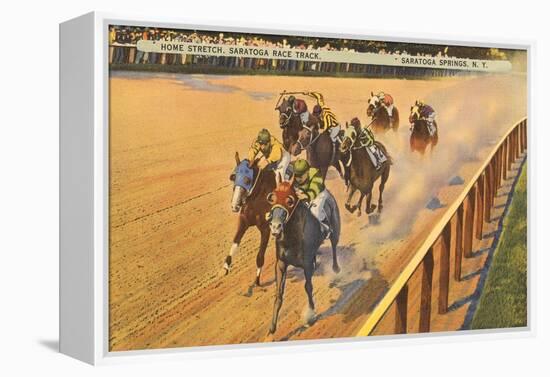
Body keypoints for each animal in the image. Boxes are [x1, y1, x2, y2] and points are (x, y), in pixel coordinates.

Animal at [224, 152, 276, 284]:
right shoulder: (243, 221)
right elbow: (235, 242)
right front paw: (225, 266)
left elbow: (260, 256)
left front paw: (257, 281)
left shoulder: (266, 229)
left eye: (247, 180)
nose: (235, 205)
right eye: (233, 177)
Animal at [266, 175, 340, 334]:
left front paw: (311, 314)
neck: (293, 237)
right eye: (272, 198)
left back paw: (336, 270)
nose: (275, 227)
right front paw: (272, 327)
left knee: (334, 246)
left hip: (336, 230)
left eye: (290, 201)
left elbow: (308, 287)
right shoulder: (281, 263)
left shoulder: (306, 264)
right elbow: (279, 294)